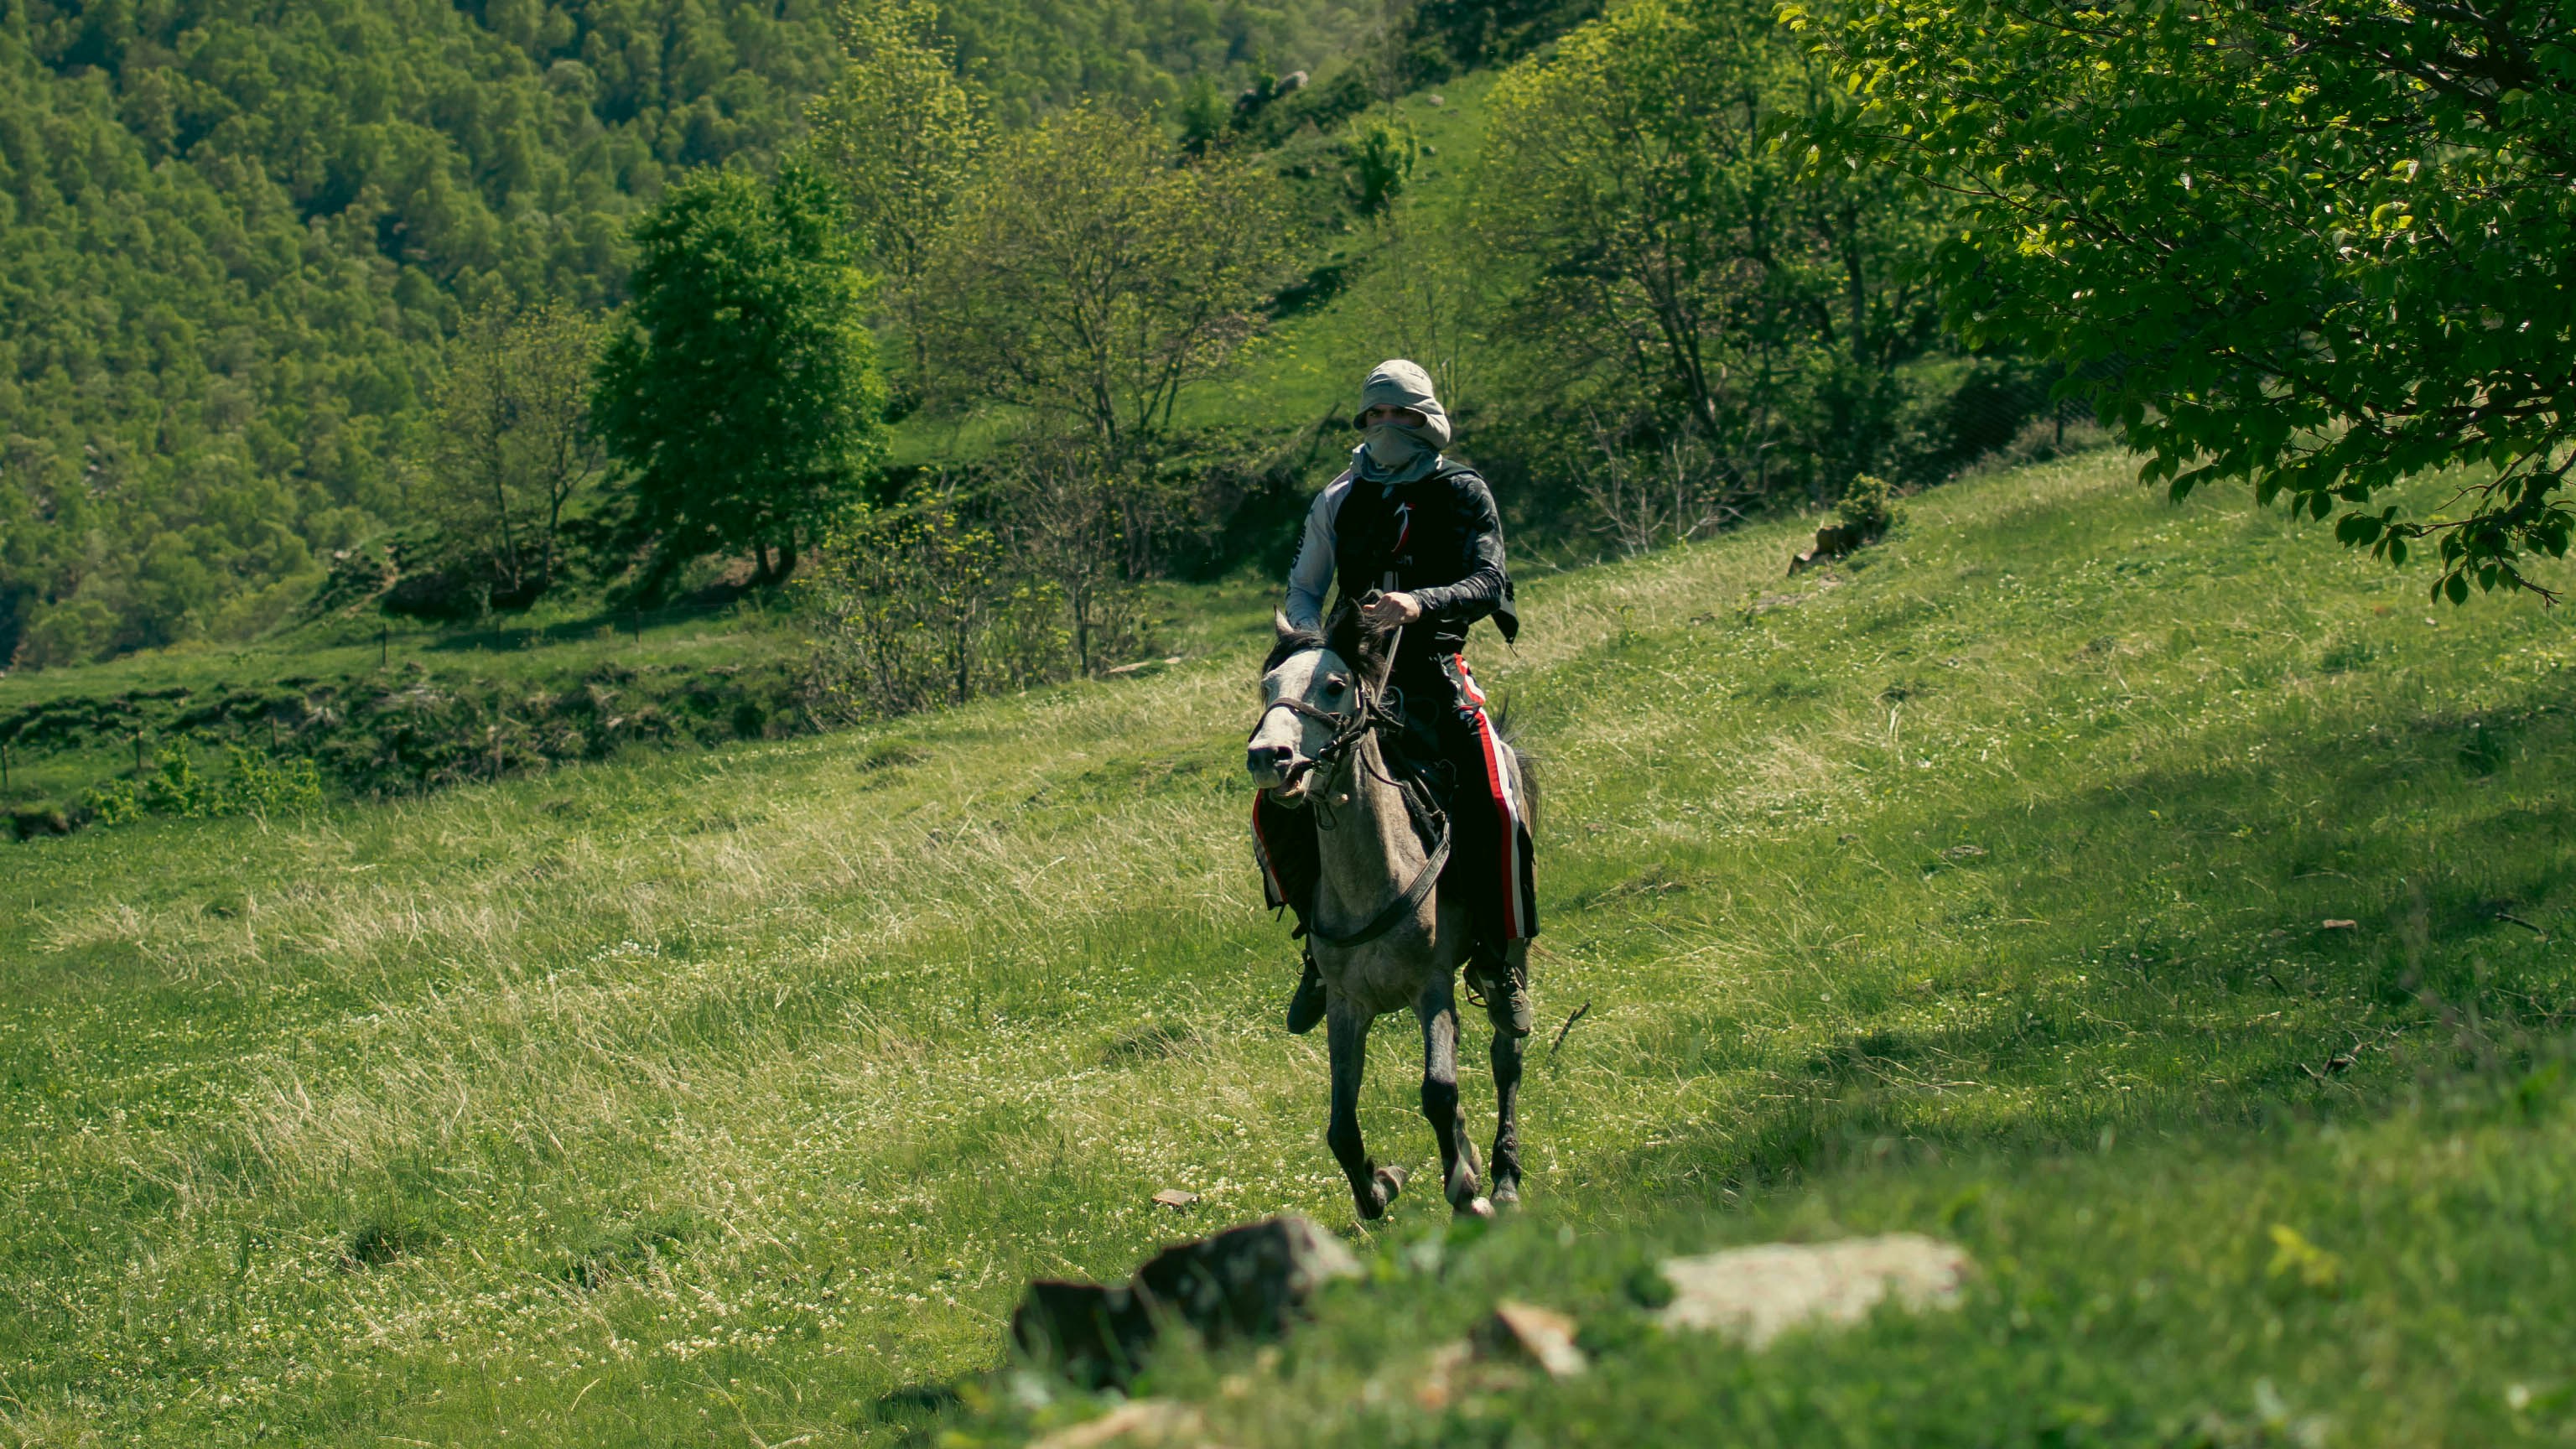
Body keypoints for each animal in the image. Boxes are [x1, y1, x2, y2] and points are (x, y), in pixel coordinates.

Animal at [1245, 604, 1530, 1222]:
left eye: (1333, 686)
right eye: (1268, 687)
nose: (1267, 758)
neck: (1372, 880)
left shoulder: (1431, 988)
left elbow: (1439, 1092)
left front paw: (1467, 1192)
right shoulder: (1347, 1005)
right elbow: (1341, 1125)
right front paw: (1381, 1186)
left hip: (1512, 949)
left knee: (1507, 1056)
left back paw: (1503, 1175)